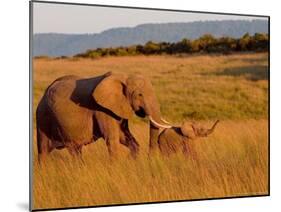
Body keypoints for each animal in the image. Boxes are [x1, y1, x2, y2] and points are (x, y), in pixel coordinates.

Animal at [35, 72, 170, 161]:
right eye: (140, 94)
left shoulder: (117, 107)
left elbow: (124, 137)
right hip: (43, 117)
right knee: (44, 150)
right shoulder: (102, 109)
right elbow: (112, 139)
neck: (123, 77)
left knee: (75, 150)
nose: (150, 158)